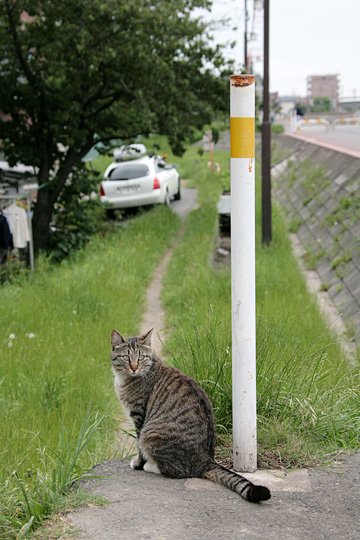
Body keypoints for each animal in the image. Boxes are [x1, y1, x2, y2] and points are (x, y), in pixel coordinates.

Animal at [111, 326, 272, 504]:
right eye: (126, 357)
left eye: (141, 357)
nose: (134, 367)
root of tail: (207, 461)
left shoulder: (139, 416)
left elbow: (138, 446)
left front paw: (138, 463)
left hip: (151, 434)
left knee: (178, 471)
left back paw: (150, 466)